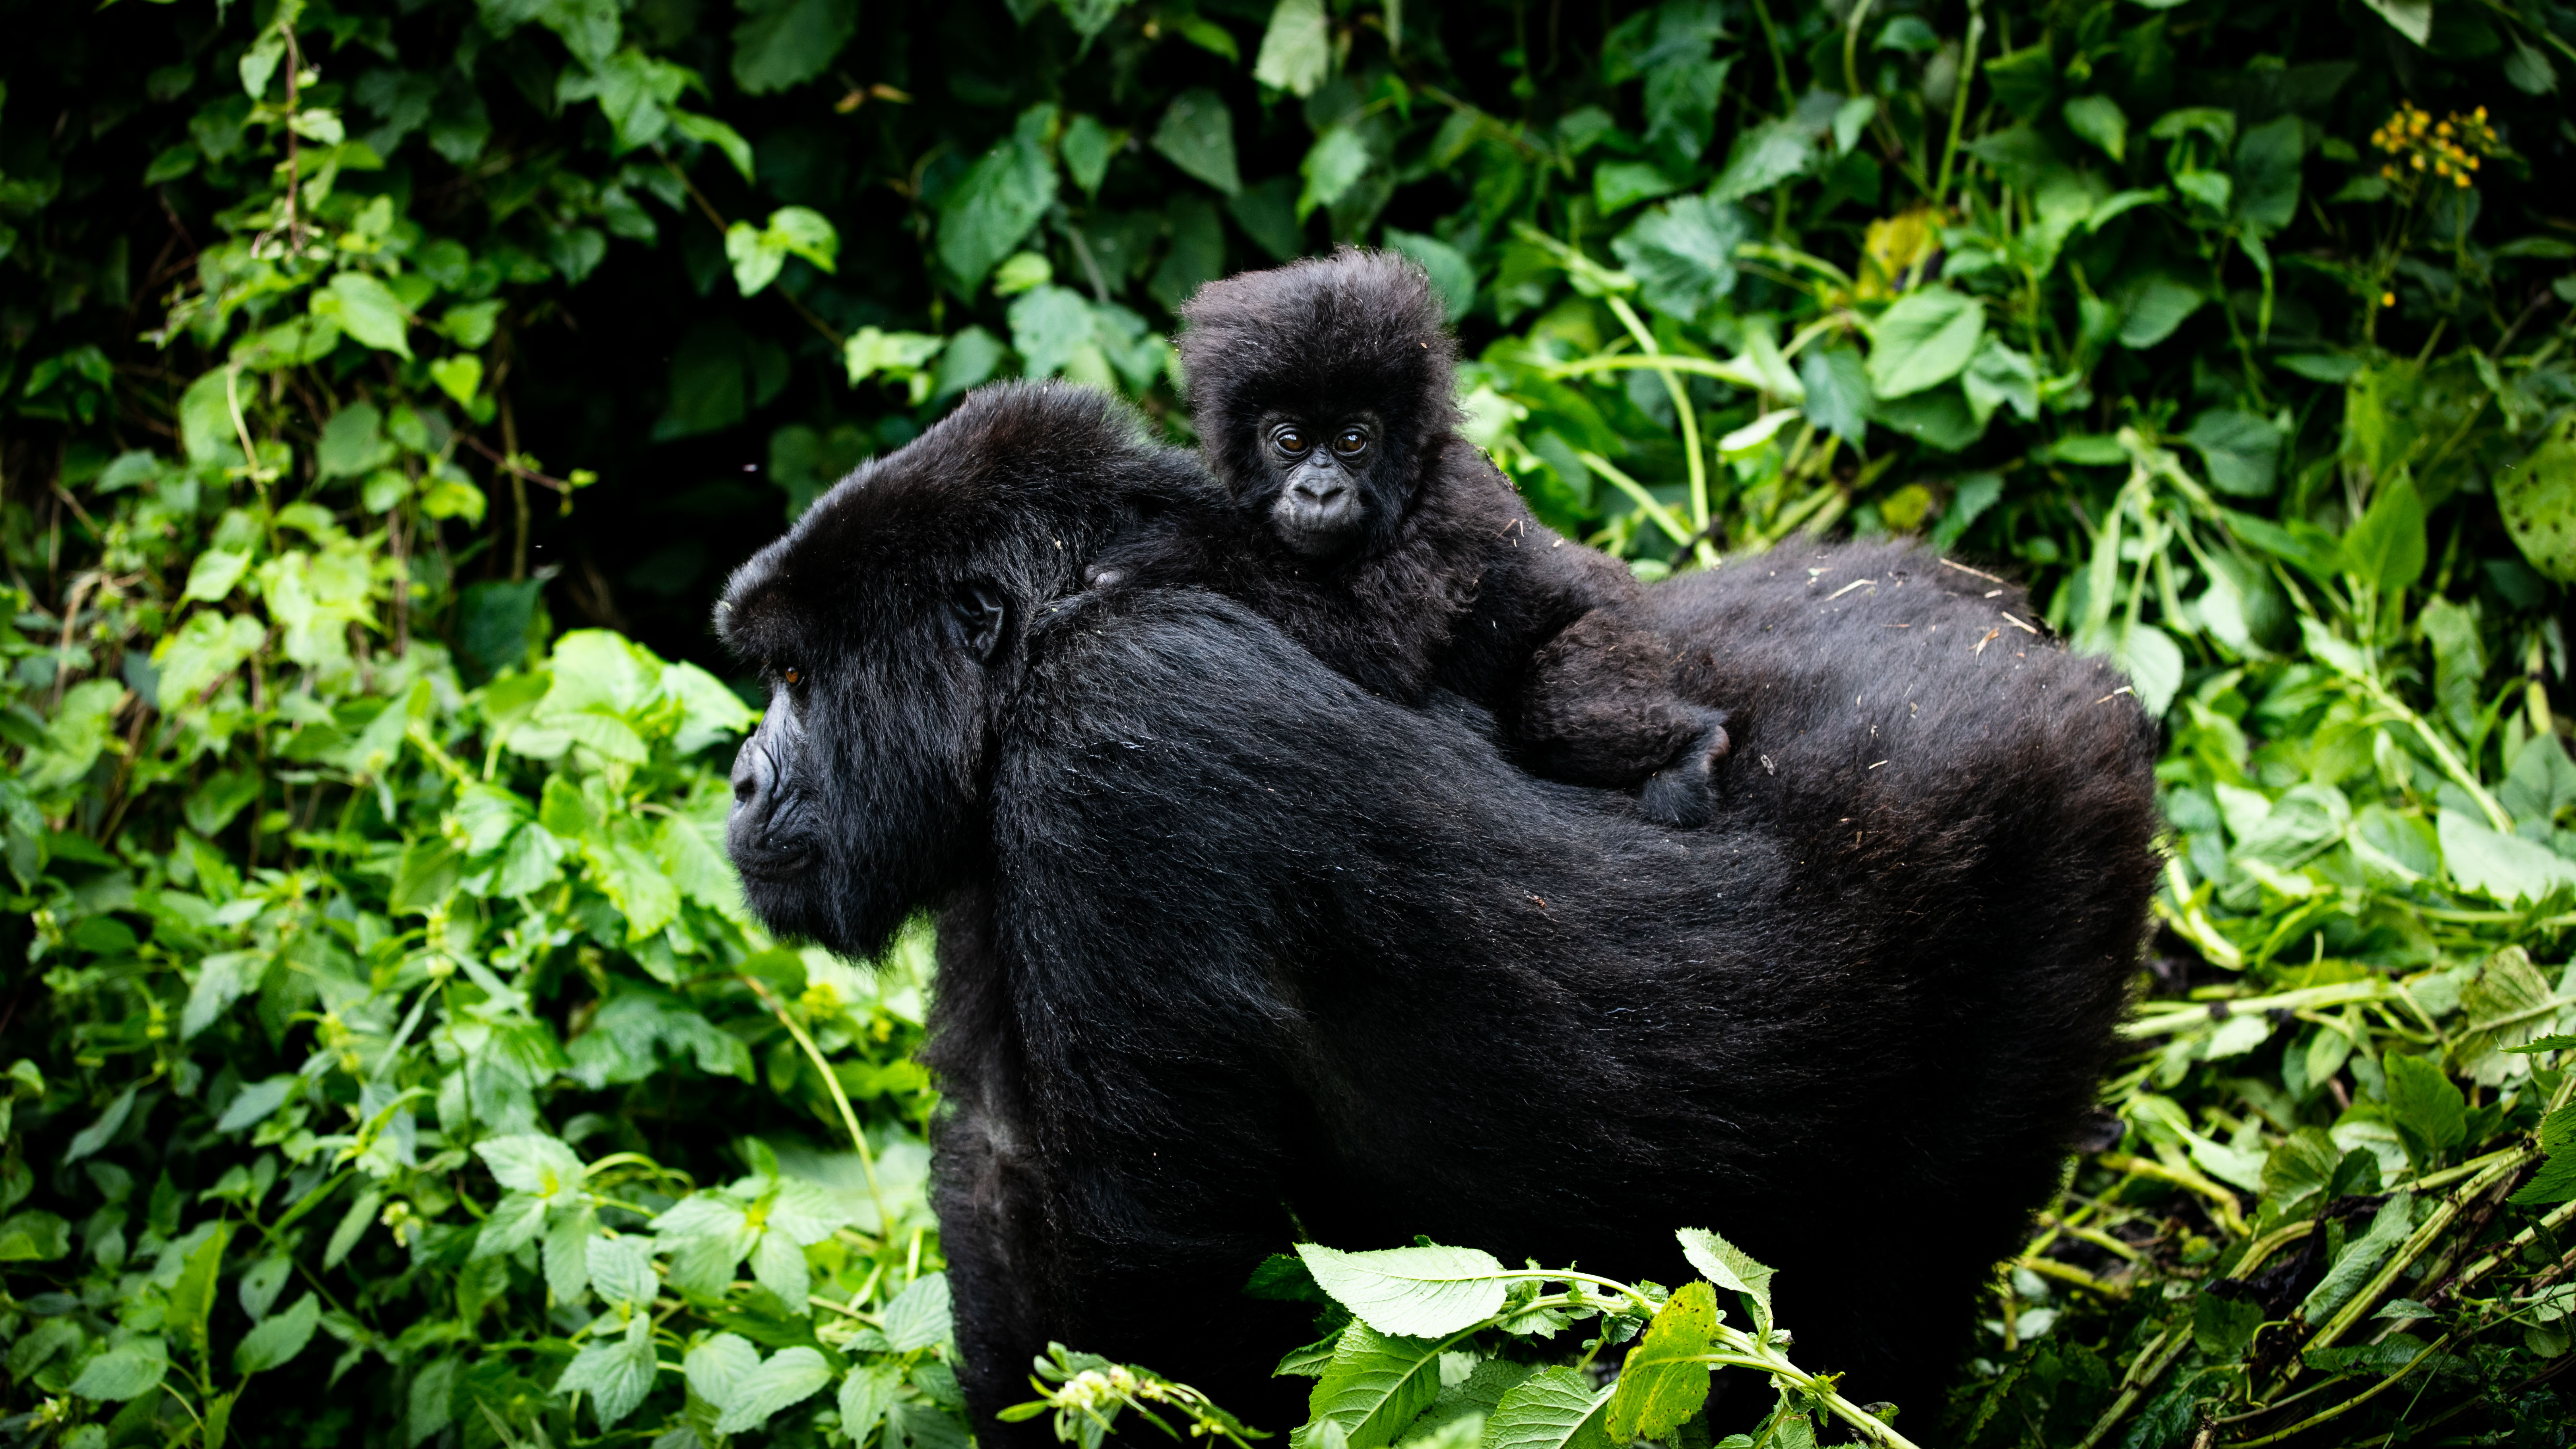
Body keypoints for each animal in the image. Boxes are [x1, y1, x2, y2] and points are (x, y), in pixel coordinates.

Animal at [711, 381, 2153, 1433]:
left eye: (798, 674)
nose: (740, 778)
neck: (1084, 595)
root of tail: (2048, 648)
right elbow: (1004, 1183)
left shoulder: (1121, 729)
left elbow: (1147, 1252)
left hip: (2064, 832)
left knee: (1905, 1264)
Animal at [1087, 247, 1731, 825]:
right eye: (1291, 441)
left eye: (1352, 441)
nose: (1318, 492)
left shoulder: (1450, 506)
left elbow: (1380, 650)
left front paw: (1178, 548)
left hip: (1627, 634)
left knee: (1562, 704)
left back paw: (1694, 752)